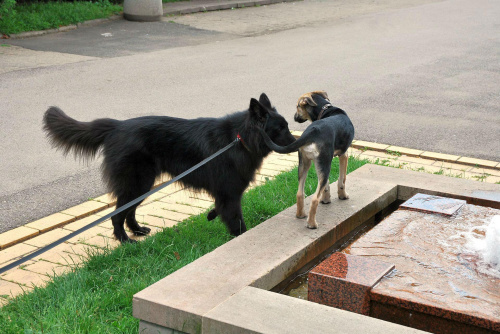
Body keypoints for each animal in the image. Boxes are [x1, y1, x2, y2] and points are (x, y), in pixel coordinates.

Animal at [45, 94, 294, 243]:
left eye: (286, 126)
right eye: (280, 128)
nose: (296, 142)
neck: (239, 138)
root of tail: (116, 126)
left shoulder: (226, 194)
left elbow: (221, 211)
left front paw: (212, 215)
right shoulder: (230, 194)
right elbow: (237, 221)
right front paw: (240, 237)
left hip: (143, 185)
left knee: (129, 211)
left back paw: (137, 231)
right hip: (137, 183)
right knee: (117, 214)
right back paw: (125, 240)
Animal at [260, 91, 354, 230]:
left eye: (298, 106)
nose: (294, 118)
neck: (325, 109)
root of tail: (312, 132)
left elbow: (326, 186)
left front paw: (326, 199)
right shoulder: (344, 154)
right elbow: (342, 179)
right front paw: (343, 196)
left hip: (305, 163)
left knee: (300, 193)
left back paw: (301, 215)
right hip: (324, 163)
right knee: (314, 199)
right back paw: (312, 224)